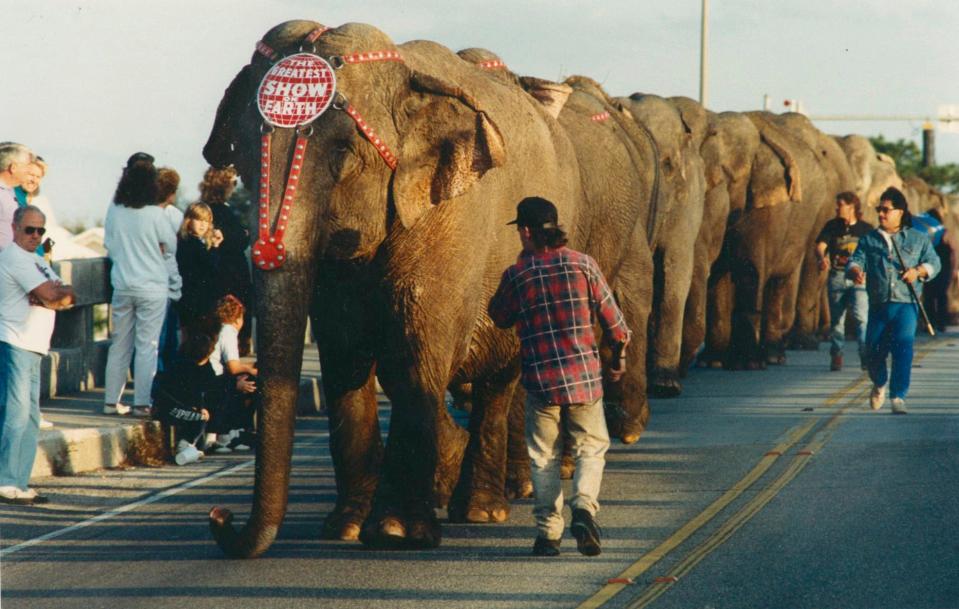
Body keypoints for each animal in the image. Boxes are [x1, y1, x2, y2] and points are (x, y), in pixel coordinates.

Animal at [203, 22, 648, 556]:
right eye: (244, 157)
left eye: (343, 157)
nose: (220, 518)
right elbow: (345, 356)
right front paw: (346, 529)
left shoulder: (449, 224)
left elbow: (412, 358)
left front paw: (394, 532)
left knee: (502, 375)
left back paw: (482, 509)